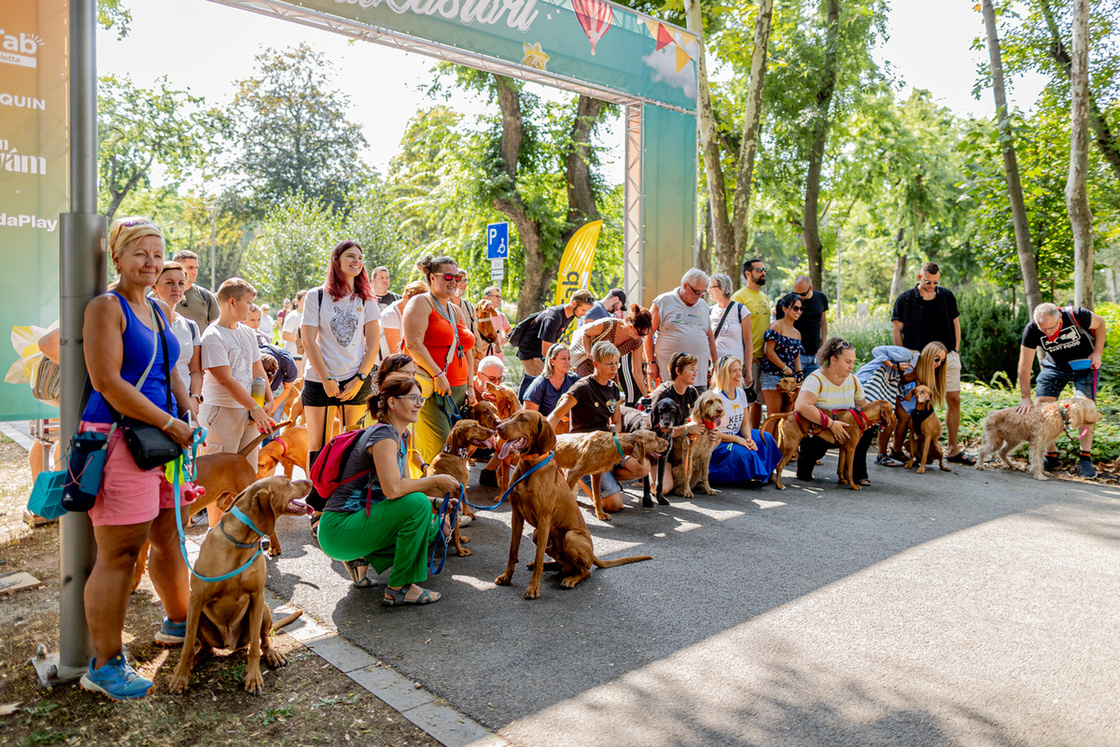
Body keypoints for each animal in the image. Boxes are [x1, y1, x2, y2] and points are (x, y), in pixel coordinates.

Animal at [163, 477, 311, 698]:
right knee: (205, 648)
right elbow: (187, 645)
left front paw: (253, 678)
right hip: (199, 619)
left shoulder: (257, 596)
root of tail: (229, 644)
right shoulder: (196, 599)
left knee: (262, 641)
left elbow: (254, 649)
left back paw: (272, 655)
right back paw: (187, 664)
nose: (310, 480)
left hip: (264, 610)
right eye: (287, 482)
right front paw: (181, 677)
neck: (241, 542)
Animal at [423, 421, 495, 555]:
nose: (493, 432)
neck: (454, 454)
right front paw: (460, 550)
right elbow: (455, 529)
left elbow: (455, 529)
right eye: (474, 426)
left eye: (478, 423)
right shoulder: (455, 503)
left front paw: (460, 540)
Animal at [495, 412, 654, 600]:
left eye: (523, 419)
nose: (498, 427)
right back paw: (551, 566)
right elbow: (512, 551)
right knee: (565, 565)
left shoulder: (544, 519)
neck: (530, 466)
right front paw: (506, 576)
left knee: (586, 571)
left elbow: (538, 555)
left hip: (570, 536)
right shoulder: (517, 516)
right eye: (512, 416)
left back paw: (570, 579)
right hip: (536, 534)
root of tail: (593, 554)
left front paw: (533, 587)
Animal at [766, 403, 896, 490]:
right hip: (792, 445)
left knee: (775, 462)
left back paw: (772, 480)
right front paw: (853, 485)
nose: (895, 418)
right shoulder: (851, 449)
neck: (862, 415)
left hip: (783, 445)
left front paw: (842, 480)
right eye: (891, 410)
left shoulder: (843, 448)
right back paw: (779, 485)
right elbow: (849, 470)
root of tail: (788, 414)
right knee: (780, 465)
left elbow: (840, 467)